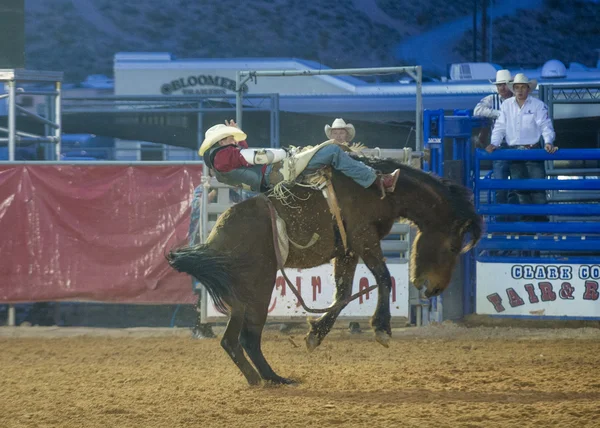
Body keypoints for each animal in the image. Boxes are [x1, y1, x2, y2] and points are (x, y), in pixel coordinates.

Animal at [168, 155, 482, 386]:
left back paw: (262, 377)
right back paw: (272, 378)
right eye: (453, 248)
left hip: (243, 295)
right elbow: (383, 277)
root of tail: (214, 238)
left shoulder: (347, 251)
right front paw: (382, 328)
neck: (381, 193)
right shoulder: (364, 238)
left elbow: (343, 294)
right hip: (258, 288)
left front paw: (315, 334)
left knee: (233, 340)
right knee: (245, 338)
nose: (434, 289)